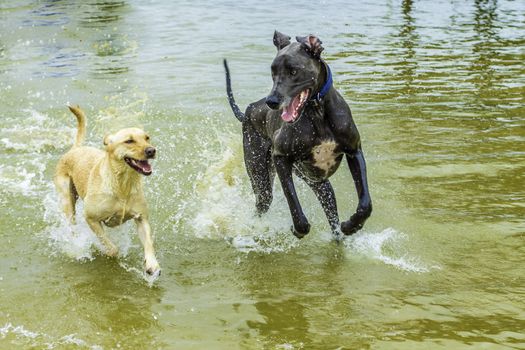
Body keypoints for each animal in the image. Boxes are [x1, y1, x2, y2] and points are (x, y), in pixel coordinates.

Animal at [223, 30, 370, 238]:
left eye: (293, 71)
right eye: (273, 72)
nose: (272, 101)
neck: (317, 111)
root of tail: (249, 111)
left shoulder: (354, 151)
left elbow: (366, 203)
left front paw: (351, 225)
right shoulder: (281, 158)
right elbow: (292, 200)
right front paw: (298, 229)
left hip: (320, 184)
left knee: (332, 213)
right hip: (261, 177)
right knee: (262, 202)